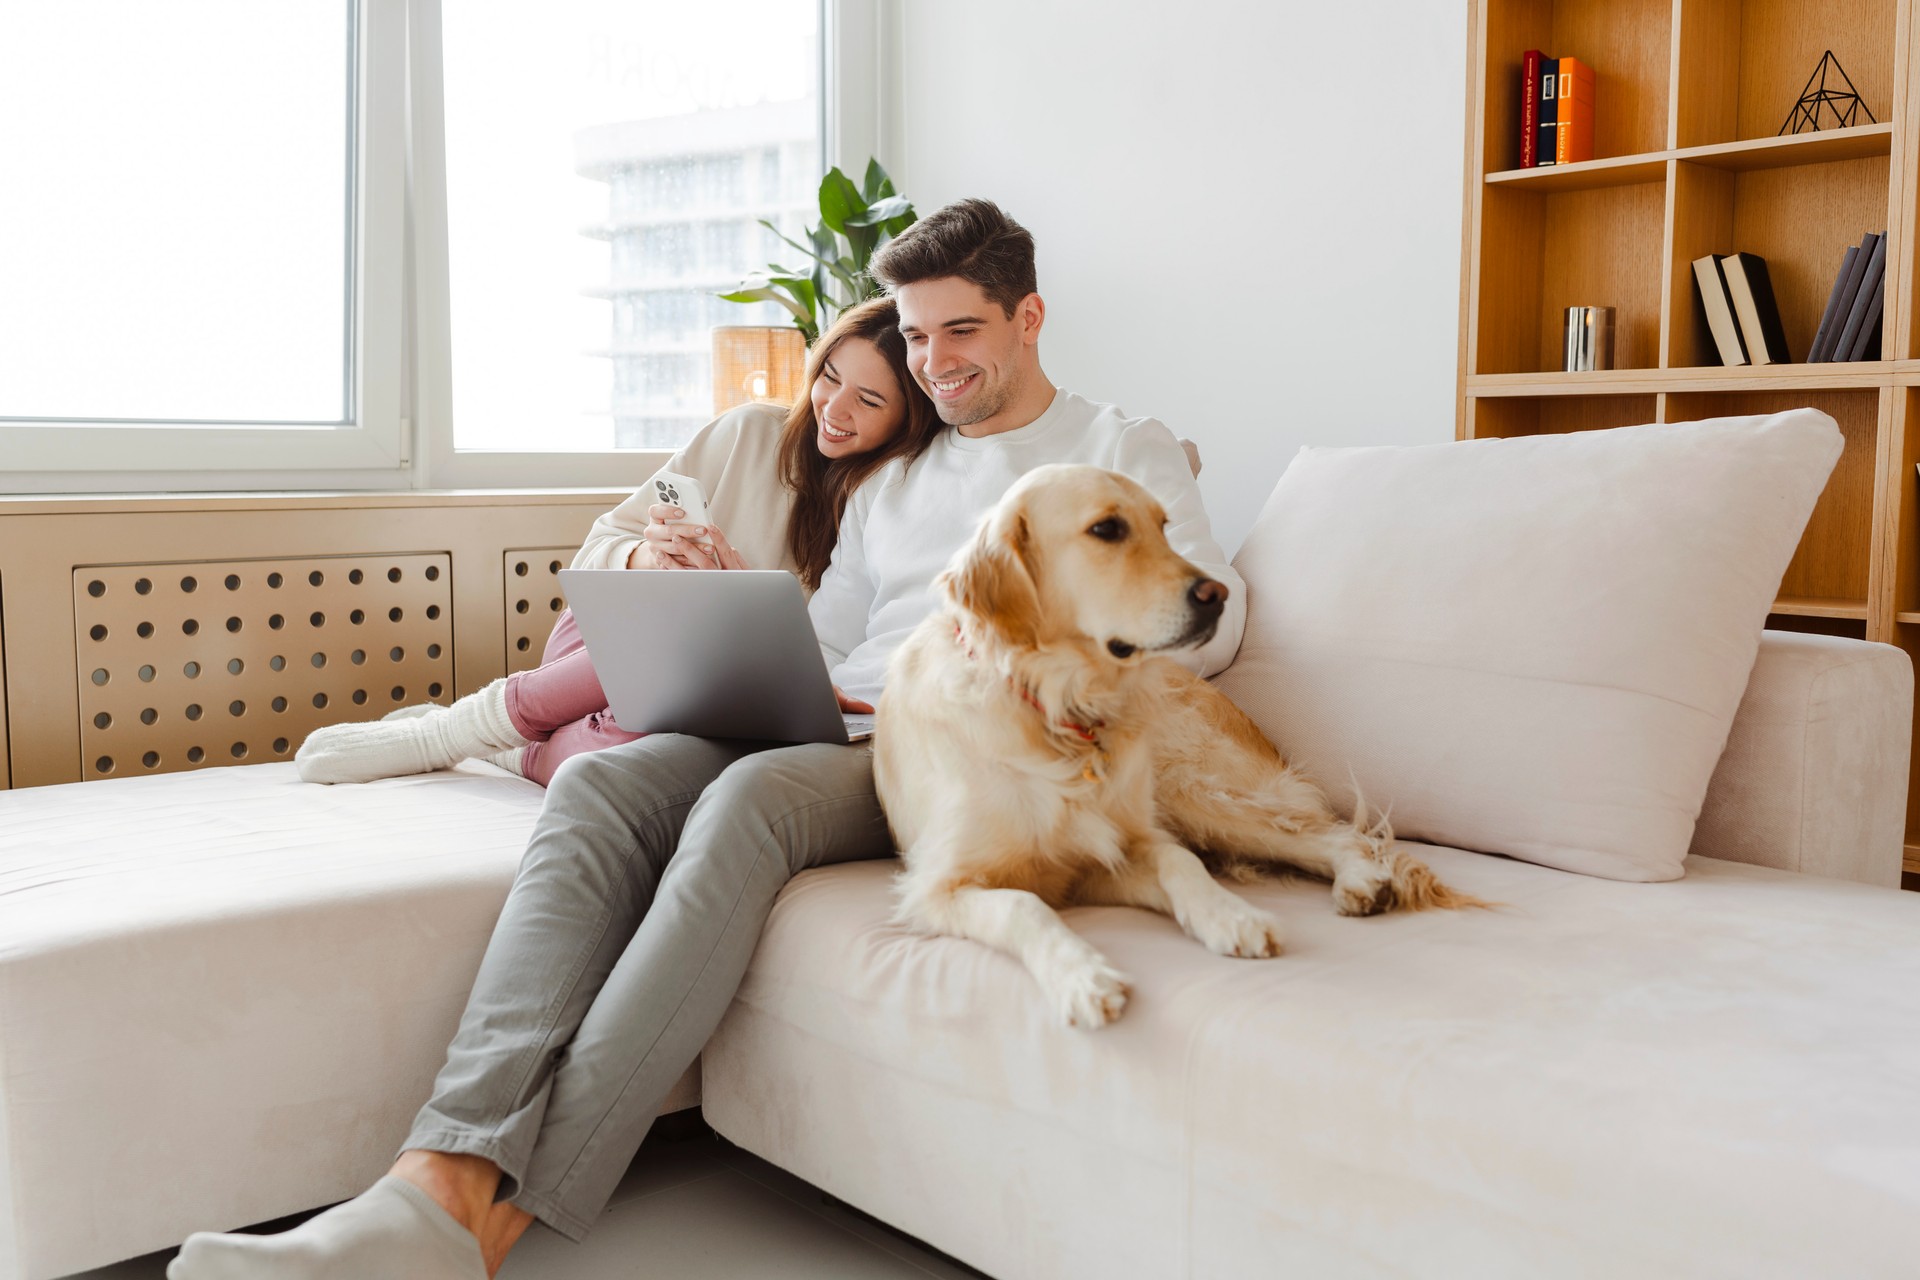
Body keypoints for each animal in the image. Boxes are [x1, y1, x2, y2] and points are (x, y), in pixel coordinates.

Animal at [879, 466, 1474, 1028]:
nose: (1218, 596)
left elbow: (1176, 859)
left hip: (1192, 791)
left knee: (1329, 833)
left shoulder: (1113, 851)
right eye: (1107, 529)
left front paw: (1231, 916)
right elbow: (1022, 906)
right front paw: (1082, 977)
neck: (1058, 710)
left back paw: (1361, 879)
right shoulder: (937, 888)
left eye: (1163, 526)